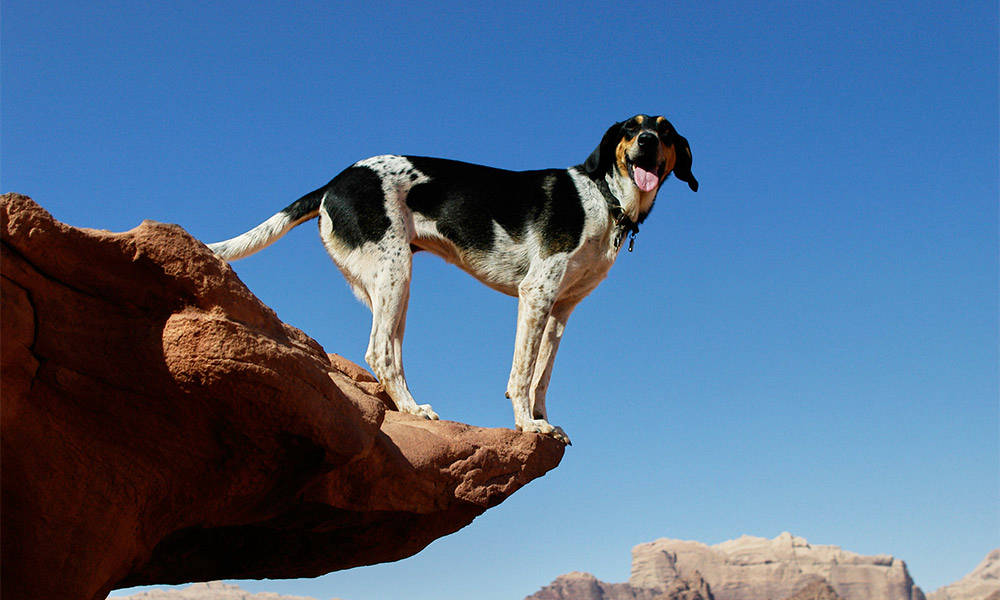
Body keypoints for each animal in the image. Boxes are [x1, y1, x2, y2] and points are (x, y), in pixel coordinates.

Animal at [208, 113, 700, 446]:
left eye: (665, 132)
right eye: (630, 129)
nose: (648, 141)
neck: (605, 198)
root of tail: (333, 182)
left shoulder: (562, 308)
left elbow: (542, 375)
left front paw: (544, 420)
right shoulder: (535, 293)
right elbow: (522, 372)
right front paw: (527, 424)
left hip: (395, 285)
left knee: (391, 354)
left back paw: (408, 406)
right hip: (394, 273)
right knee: (378, 352)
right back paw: (412, 409)